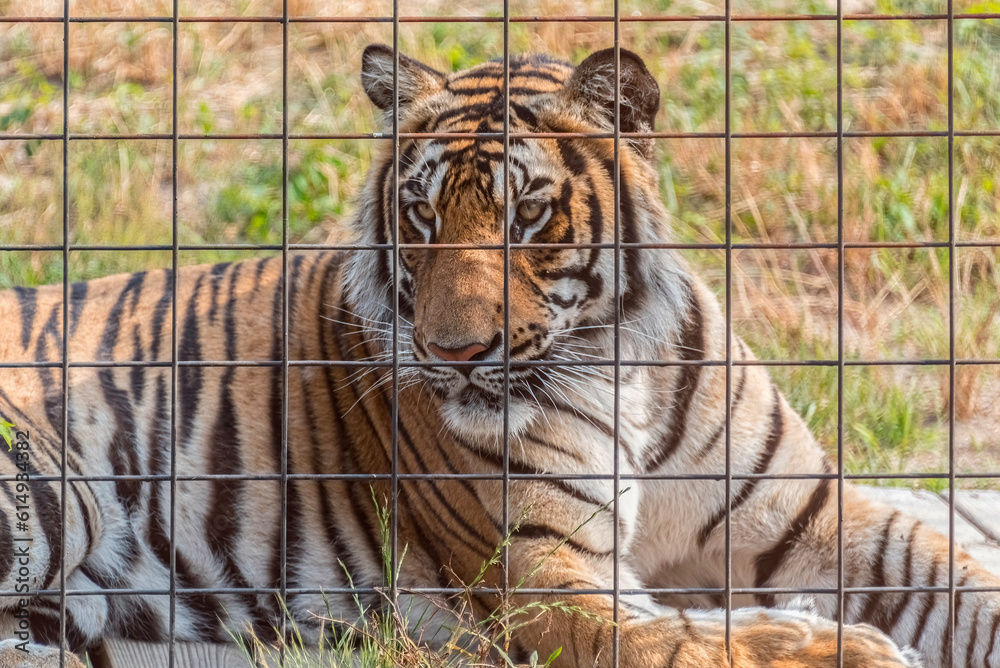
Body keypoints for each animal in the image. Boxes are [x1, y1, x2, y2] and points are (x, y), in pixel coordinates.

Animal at [1, 43, 1000, 668]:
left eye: (528, 215)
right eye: (421, 216)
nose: (455, 352)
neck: (626, 372)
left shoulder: (808, 518)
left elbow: (960, 580)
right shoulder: (537, 576)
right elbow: (682, 638)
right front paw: (842, 646)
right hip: (50, 493)